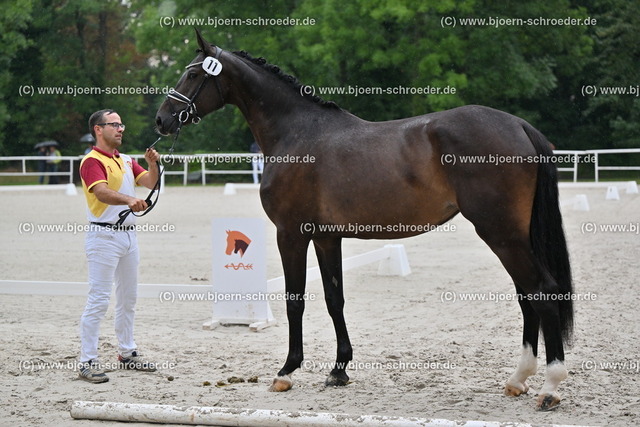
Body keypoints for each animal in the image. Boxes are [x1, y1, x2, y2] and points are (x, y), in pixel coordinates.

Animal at [155, 30, 574, 411]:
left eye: (192, 74)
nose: (162, 120)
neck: (297, 134)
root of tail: (519, 126)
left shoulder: (290, 234)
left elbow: (295, 300)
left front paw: (287, 371)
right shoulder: (326, 237)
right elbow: (334, 298)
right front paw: (339, 369)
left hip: (501, 233)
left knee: (543, 292)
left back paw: (550, 387)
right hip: (512, 235)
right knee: (527, 296)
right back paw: (518, 379)